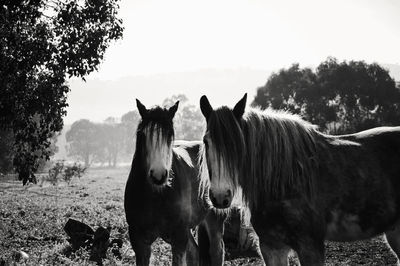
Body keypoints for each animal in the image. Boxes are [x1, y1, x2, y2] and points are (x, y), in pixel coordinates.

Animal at [123, 100, 228, 266]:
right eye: (143, 134)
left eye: (169, 135)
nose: (158, 175)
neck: (155, 195)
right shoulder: (139, 240)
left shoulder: (178, 237)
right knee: (194, 253)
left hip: (213, 219)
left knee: (217, 252)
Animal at [200, 93, 400, 266]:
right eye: (206, 142)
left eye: (238, 144)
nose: (220, 197)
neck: (284, 179)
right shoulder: (271, 247)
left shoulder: (310, 246)